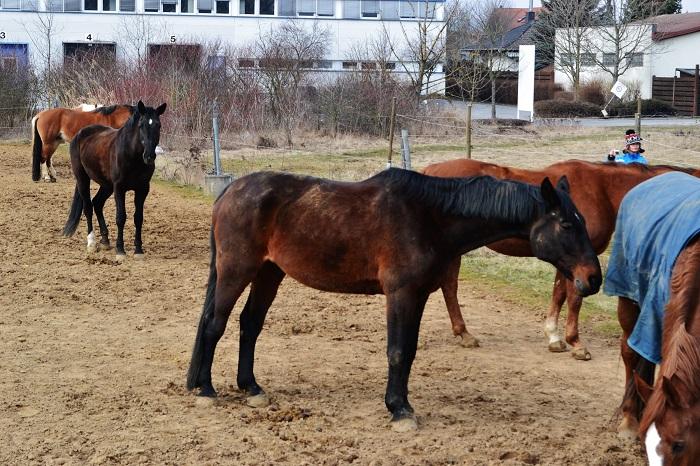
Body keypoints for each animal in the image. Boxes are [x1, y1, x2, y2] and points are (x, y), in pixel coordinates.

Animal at [60, 100, 166, 260]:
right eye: (141, 125)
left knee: (97, 203)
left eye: (158, 125)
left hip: (106, 185)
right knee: (88, 207)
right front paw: (120, 250)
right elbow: (121, 217)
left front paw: (138, 250)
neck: (132, 155)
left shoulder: (142, 189)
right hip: (83, 179)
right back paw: (92, 243)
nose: (149, 156)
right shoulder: (119, 188)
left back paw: (105, 240)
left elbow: (138, 218)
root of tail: (80, 134)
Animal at [187, 167, 600, 430]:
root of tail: (229, 191)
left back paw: (251, 388)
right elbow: (398, 351)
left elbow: (410, 351)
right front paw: (399, 410)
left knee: (249, 325)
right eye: (567, 224)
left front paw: (400, 403)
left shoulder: (418, 296)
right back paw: (205, 390)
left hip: (269, 272)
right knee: (214, 323)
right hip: (237, 269)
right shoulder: (400, 293)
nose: (592, 279)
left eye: (582, 221)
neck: (430, 217)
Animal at [422, 158, 700, 358]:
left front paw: (554, 337)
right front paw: (575, 342)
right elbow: (575, 298)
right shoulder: (579, 263)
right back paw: (463, 332)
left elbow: (559, 294)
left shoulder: (569, 261)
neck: (601, 190)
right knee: (449, 287)